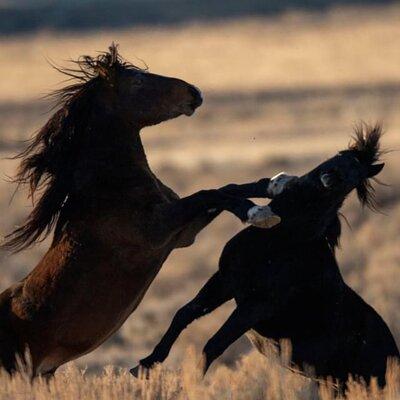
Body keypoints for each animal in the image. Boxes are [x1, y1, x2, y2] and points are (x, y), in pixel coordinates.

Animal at [0, 45, 288, 376]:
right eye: (137, 82)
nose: (195, 92)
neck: (111, 186)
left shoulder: (182, 234)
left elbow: (225, 189)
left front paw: (275, 184)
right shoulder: (158, 228)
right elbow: (210, 193)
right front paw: (259, 214)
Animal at [134, 125, 400, 388]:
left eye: (355, 175)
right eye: (341, 156)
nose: (330, 177)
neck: (285, 238)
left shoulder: (257, 306)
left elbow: (213, 344)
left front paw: (185, 383)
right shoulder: (224, 282)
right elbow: (185, 313)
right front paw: (144, 365)